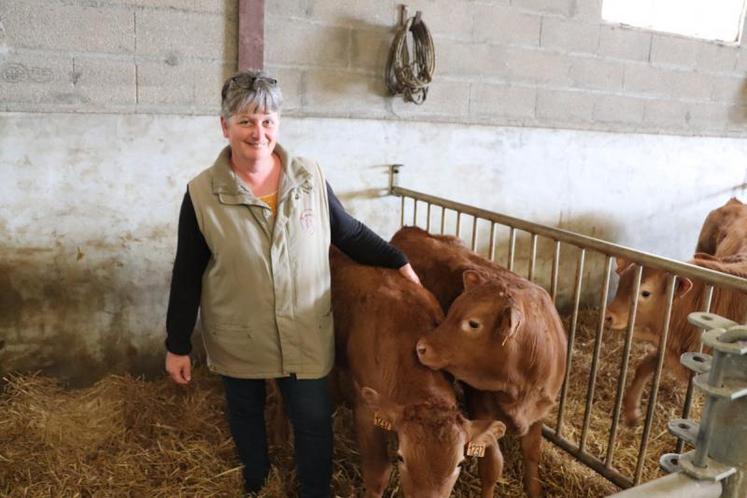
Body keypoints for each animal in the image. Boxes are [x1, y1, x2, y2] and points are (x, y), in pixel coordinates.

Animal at [392, 227, 568, 498]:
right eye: (451, 310)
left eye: (473, 324)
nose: (421, 347)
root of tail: (412, 230)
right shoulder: (481, 405)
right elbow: (492, 465)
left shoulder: (540, 412)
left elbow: (532, 453)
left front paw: (535, 490)